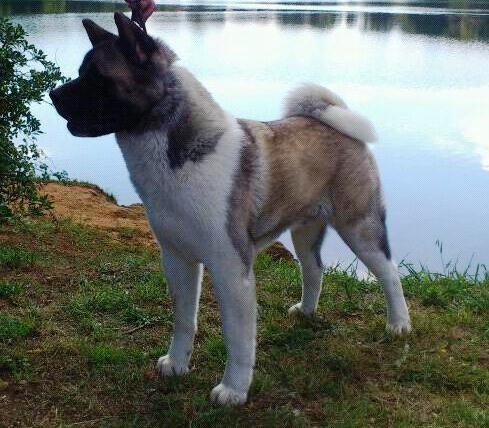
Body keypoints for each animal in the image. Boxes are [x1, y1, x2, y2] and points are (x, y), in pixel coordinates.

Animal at [49, 13, 410, 406]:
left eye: (98, 76)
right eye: (82, 71)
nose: (53, 94)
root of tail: (334, 122)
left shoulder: (230, 267)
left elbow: (237, 338)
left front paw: (233, 390)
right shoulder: (177, 259)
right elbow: (183, 320)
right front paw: (177, 364)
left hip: (359, 227)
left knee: (390, 273)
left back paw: (399, 325)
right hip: (305, 230)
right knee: (314, 269)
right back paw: (306, 312)